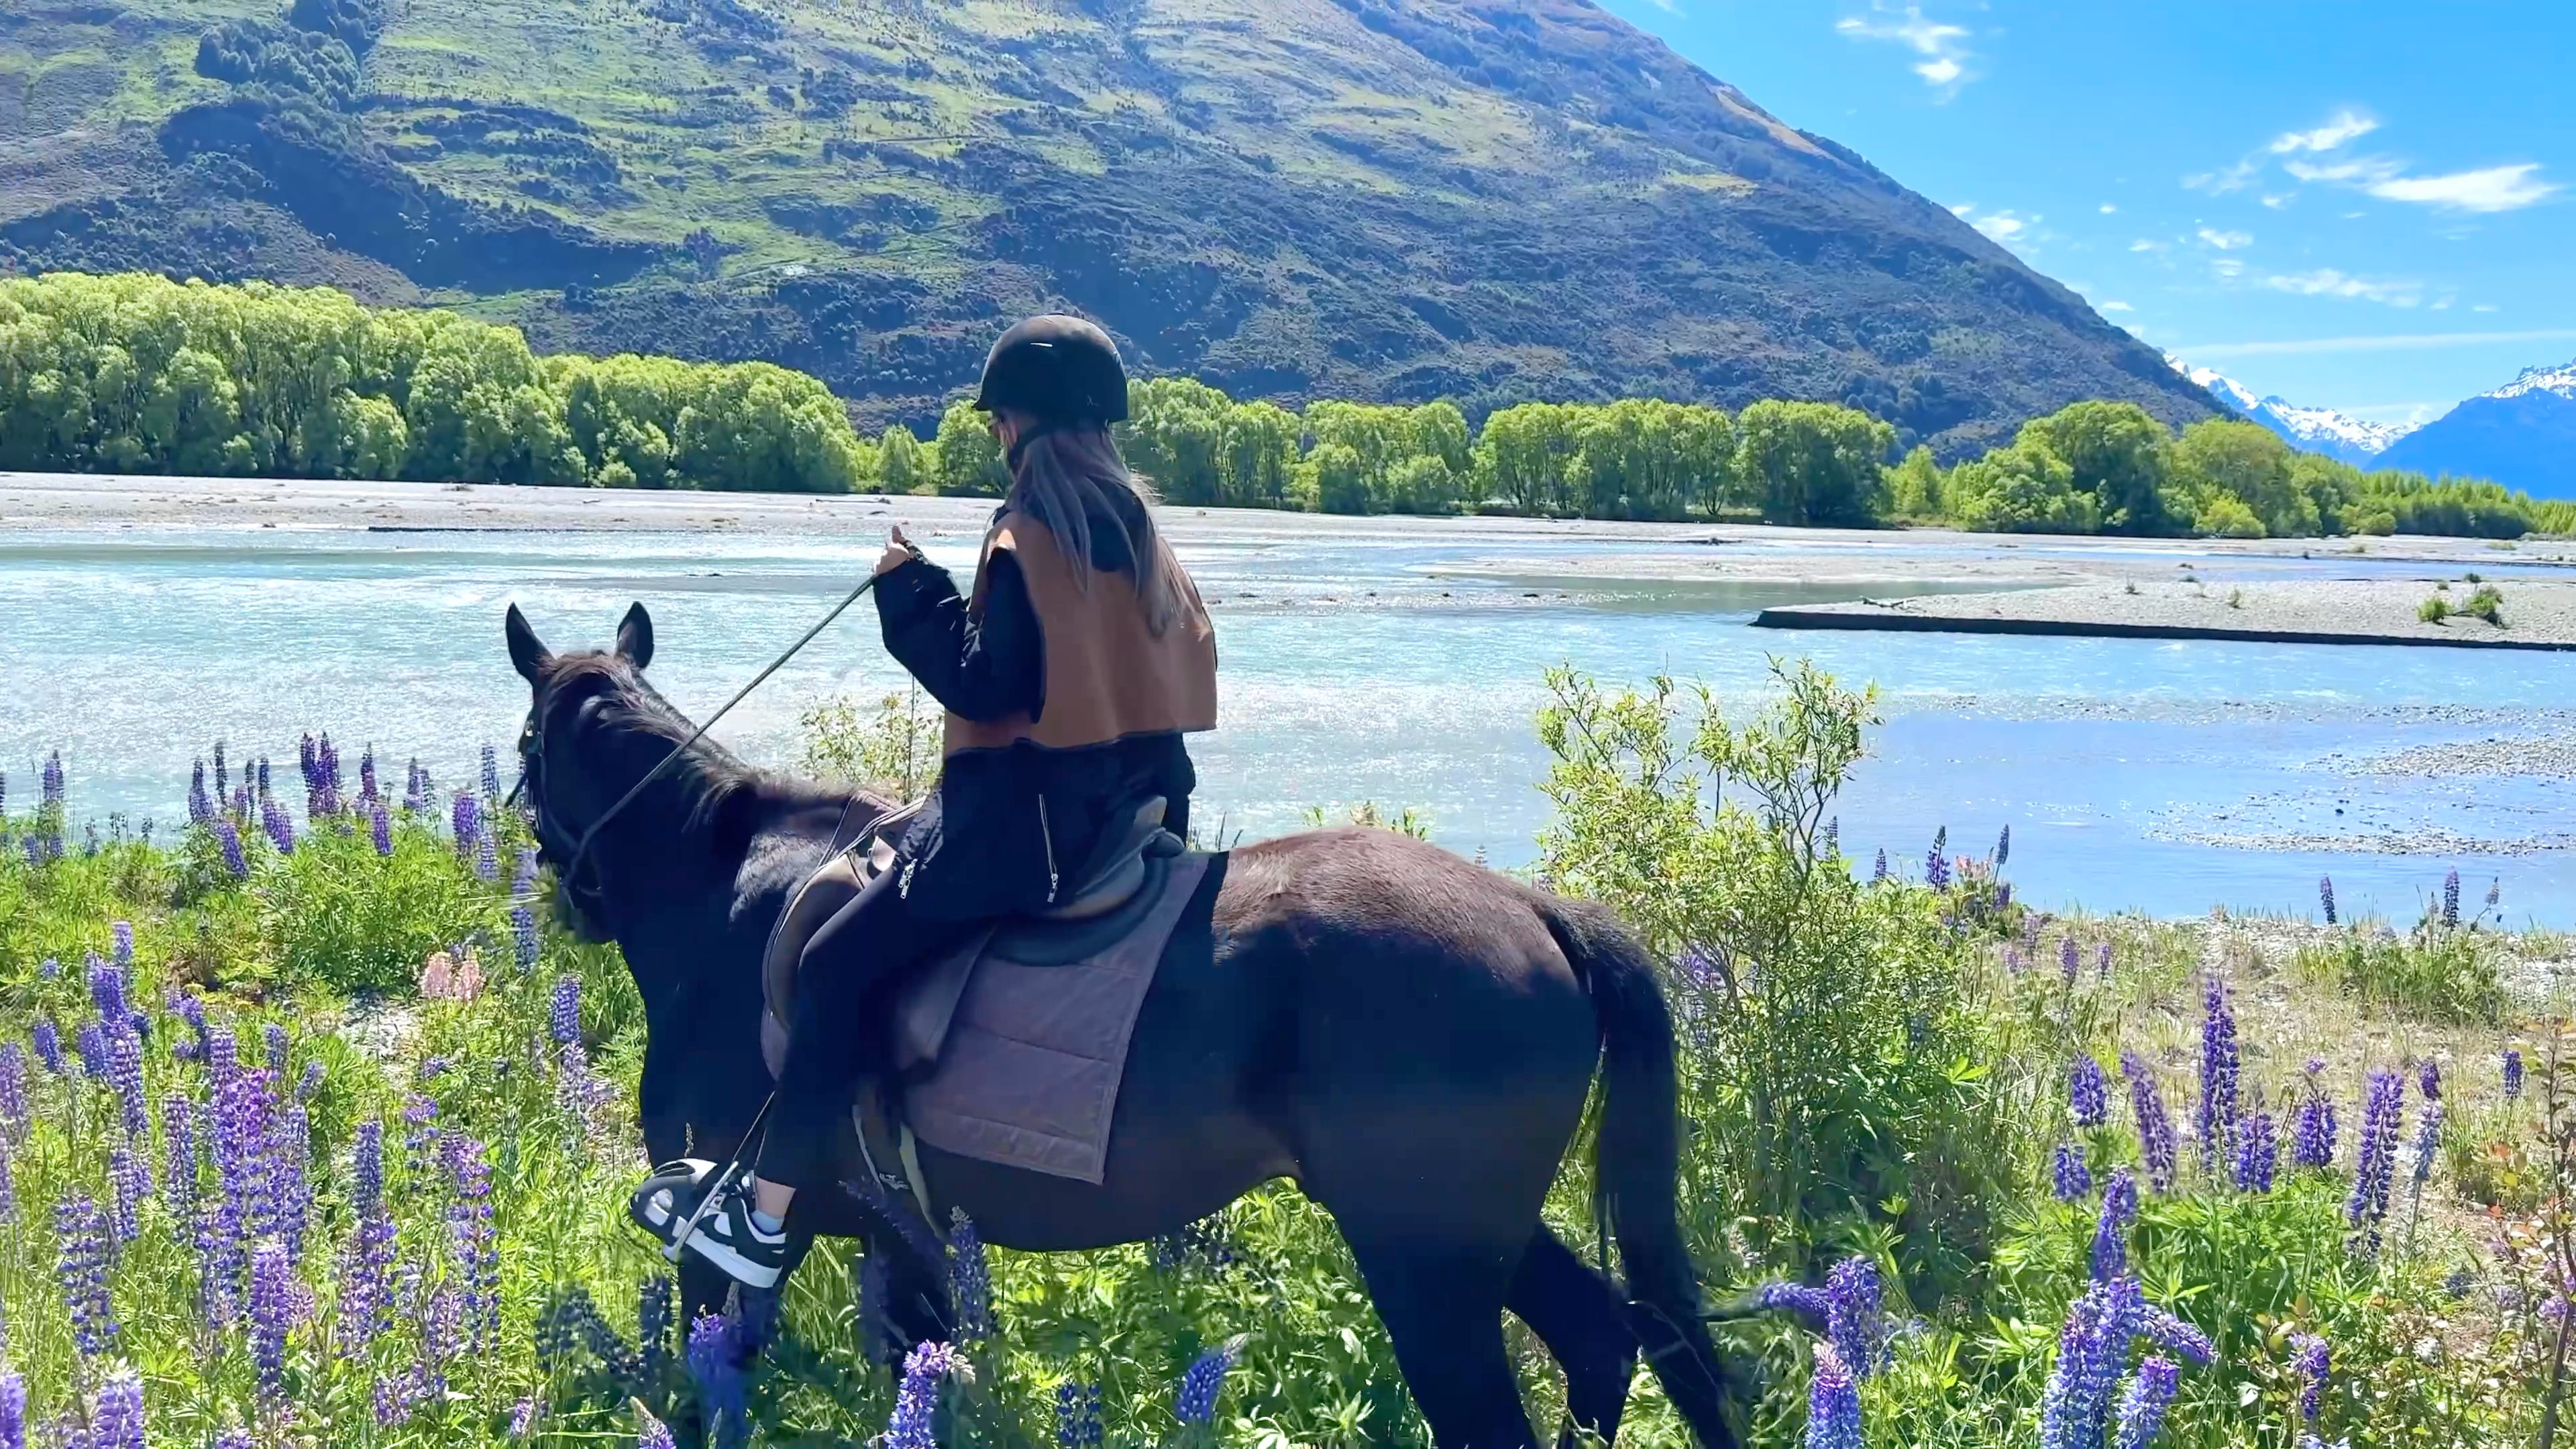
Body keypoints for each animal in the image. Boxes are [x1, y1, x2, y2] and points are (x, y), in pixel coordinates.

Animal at [497, 600, 1752, 1444]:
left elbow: (718, 1378)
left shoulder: (741, 1253)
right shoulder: (902, 1246)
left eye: (522, 746)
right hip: (1475, 1232)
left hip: (1425, 1260)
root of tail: (1538, 909)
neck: (728, 891)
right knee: (1604, 1340)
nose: (571, 895)